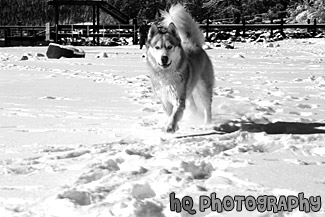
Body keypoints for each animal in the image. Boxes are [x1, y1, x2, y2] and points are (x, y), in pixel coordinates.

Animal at [146, 3, 214, 132]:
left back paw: (208, 124)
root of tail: (194, 44)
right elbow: (169, 113)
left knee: (207, 107)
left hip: (204, 88)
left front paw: (170, 126)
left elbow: (175, 113)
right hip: (188, 89)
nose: (164, 58)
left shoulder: (178, 97)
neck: (166, 75)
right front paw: (175, 126)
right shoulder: (164, 98)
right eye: (157, 47)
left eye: (170, 46)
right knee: (193, 105)